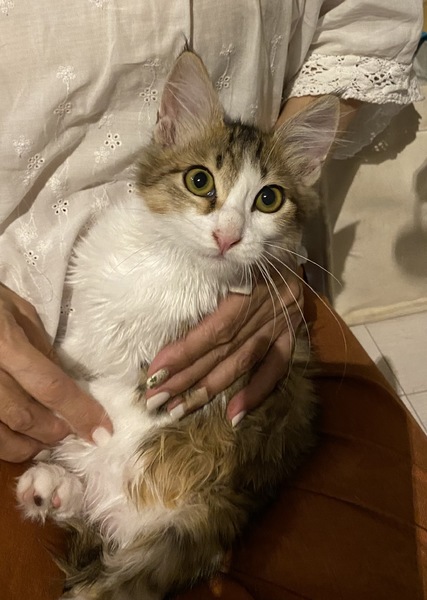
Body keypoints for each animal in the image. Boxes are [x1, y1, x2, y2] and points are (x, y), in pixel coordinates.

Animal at [16, 51, 339, 600]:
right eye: (199, 181)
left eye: (269, 199)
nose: (228, 235)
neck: (171, 261)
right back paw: (52, 488)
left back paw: (54, 489)